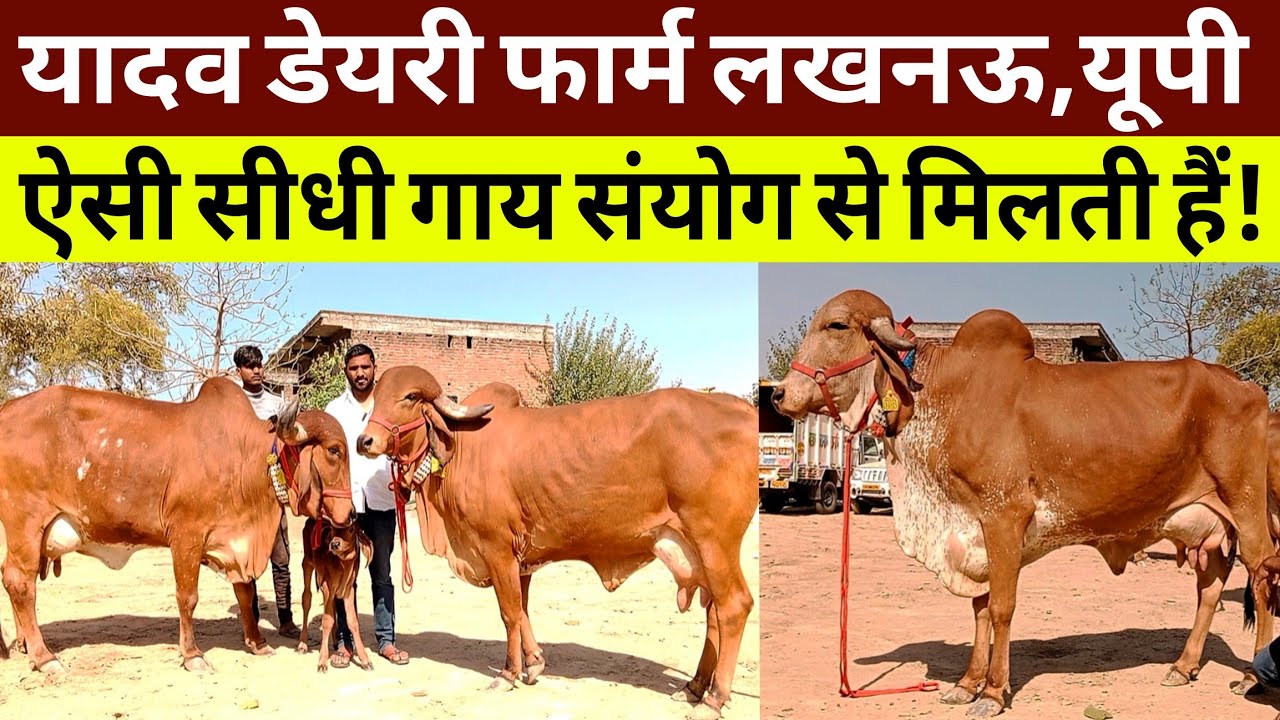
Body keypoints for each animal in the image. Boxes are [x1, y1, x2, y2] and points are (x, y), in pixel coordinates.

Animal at [0, 377, 355, 674]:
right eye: (334, 450)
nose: (350, 513)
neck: (242, 457)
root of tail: (7, 409)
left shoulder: (235, 544)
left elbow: (244, 592)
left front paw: (257, 643)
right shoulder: (186, 535)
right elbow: (188, 597)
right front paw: (192, 654)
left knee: (10, 577)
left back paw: (21, 645)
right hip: (25, 523)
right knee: (20, 582)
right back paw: (44, 657)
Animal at [296, 516, 374, 672]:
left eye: (351, 529)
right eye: (332, 530)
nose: (335, 544)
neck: (343, 564)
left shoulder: (349, 589)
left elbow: (352, 621)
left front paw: (365, 659)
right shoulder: (327, 586)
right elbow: (327, 620)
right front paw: (322, 661)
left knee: (331, 606)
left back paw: (334, 641)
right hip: (307, 563)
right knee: (306, 598)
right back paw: (303, 644)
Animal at [351, 366, 757, 720]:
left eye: (410, 396)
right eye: (375, 396)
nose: (364, 441)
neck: (463, 447)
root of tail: (743, 410)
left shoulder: (497, 549)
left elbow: (509, 613)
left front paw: (508, 673)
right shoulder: (522, 558)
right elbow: (522, 610)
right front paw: (534, 664)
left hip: (714, 542)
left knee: (734, 607)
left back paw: (714, 698)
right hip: (698, 551)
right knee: (714, 613)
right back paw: (694, 687)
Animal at [769, 289, 1274, 718]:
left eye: (836, 325)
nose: (779, 393)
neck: (942, 396)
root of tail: (1252, 390)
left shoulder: (1004, 517)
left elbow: (1001, 607)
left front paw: (993, 692)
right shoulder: (972, 530)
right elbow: (979, 607)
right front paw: (966, 684)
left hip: (1247, 510)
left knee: (1263, 578)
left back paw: (1254, 677)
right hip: (1210, 525)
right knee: (1210, 588)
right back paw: (1183, 667)